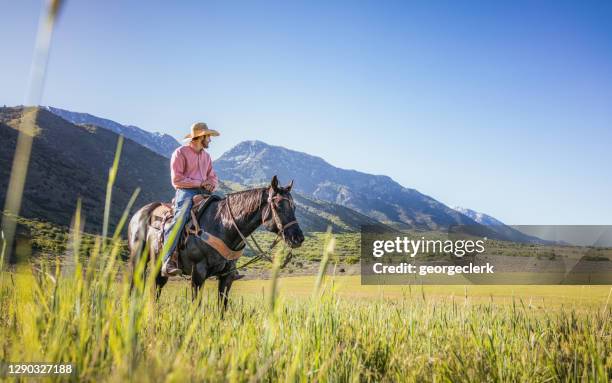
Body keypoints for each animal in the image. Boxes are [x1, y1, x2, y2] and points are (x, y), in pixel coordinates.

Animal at [126, 176, 304, 308]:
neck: (222, 225)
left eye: (294, 207)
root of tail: (140, 213)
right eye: (277, 205)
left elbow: (221, 308)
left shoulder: (227, 276)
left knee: (156, 288)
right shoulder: (198, 273)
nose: (298, 238)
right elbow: (196, 307)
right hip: (140, 260)